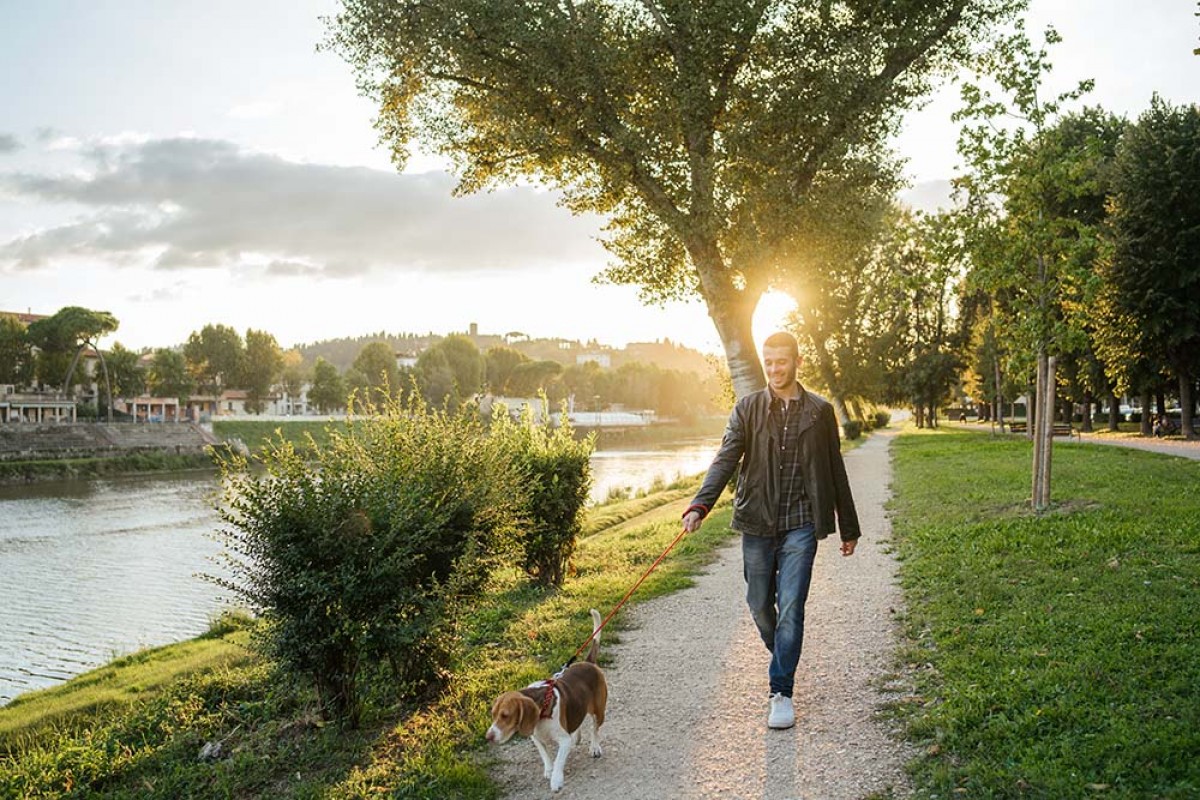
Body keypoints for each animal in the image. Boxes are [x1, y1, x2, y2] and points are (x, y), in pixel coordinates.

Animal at [482, 614, 604, 796]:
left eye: (505, 715)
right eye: (493, 714)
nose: (488, 737)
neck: (542, 712)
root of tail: (588, 663)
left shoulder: (563, 741)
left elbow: (559, 760)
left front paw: (556, 780)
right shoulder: (536, 737)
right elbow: (545, 755)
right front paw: (548, 770)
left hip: (599, 711)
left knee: (595, 729)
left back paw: (594, 747)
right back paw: (577, 736)